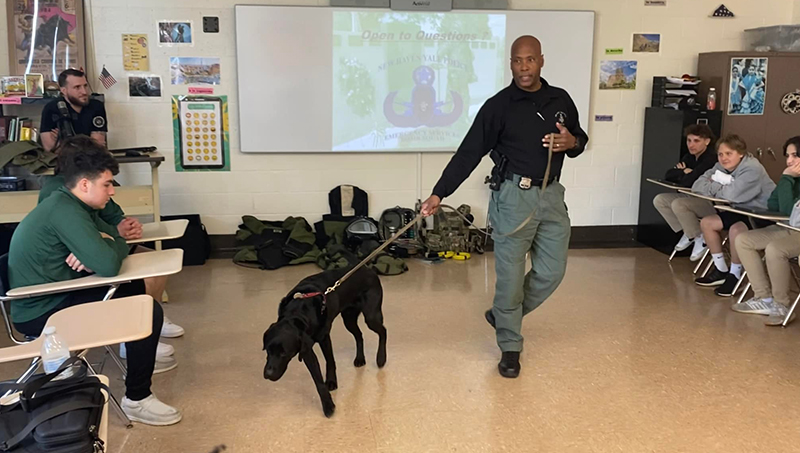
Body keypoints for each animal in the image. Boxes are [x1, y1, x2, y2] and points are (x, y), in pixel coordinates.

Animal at [262, 264, 388, 416]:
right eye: (268, 350)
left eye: (284, 354)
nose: (268, 374)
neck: (297, 312)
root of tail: (368, 269)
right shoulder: (306, 349)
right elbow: (317, 380)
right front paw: (327, 403)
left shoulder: (323, 338)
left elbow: (330, 361)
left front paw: (331, 388)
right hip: (349, 318)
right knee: (359, 335)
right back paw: (360, 358)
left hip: (371, 316)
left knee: (383, 331)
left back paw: (381, 358)